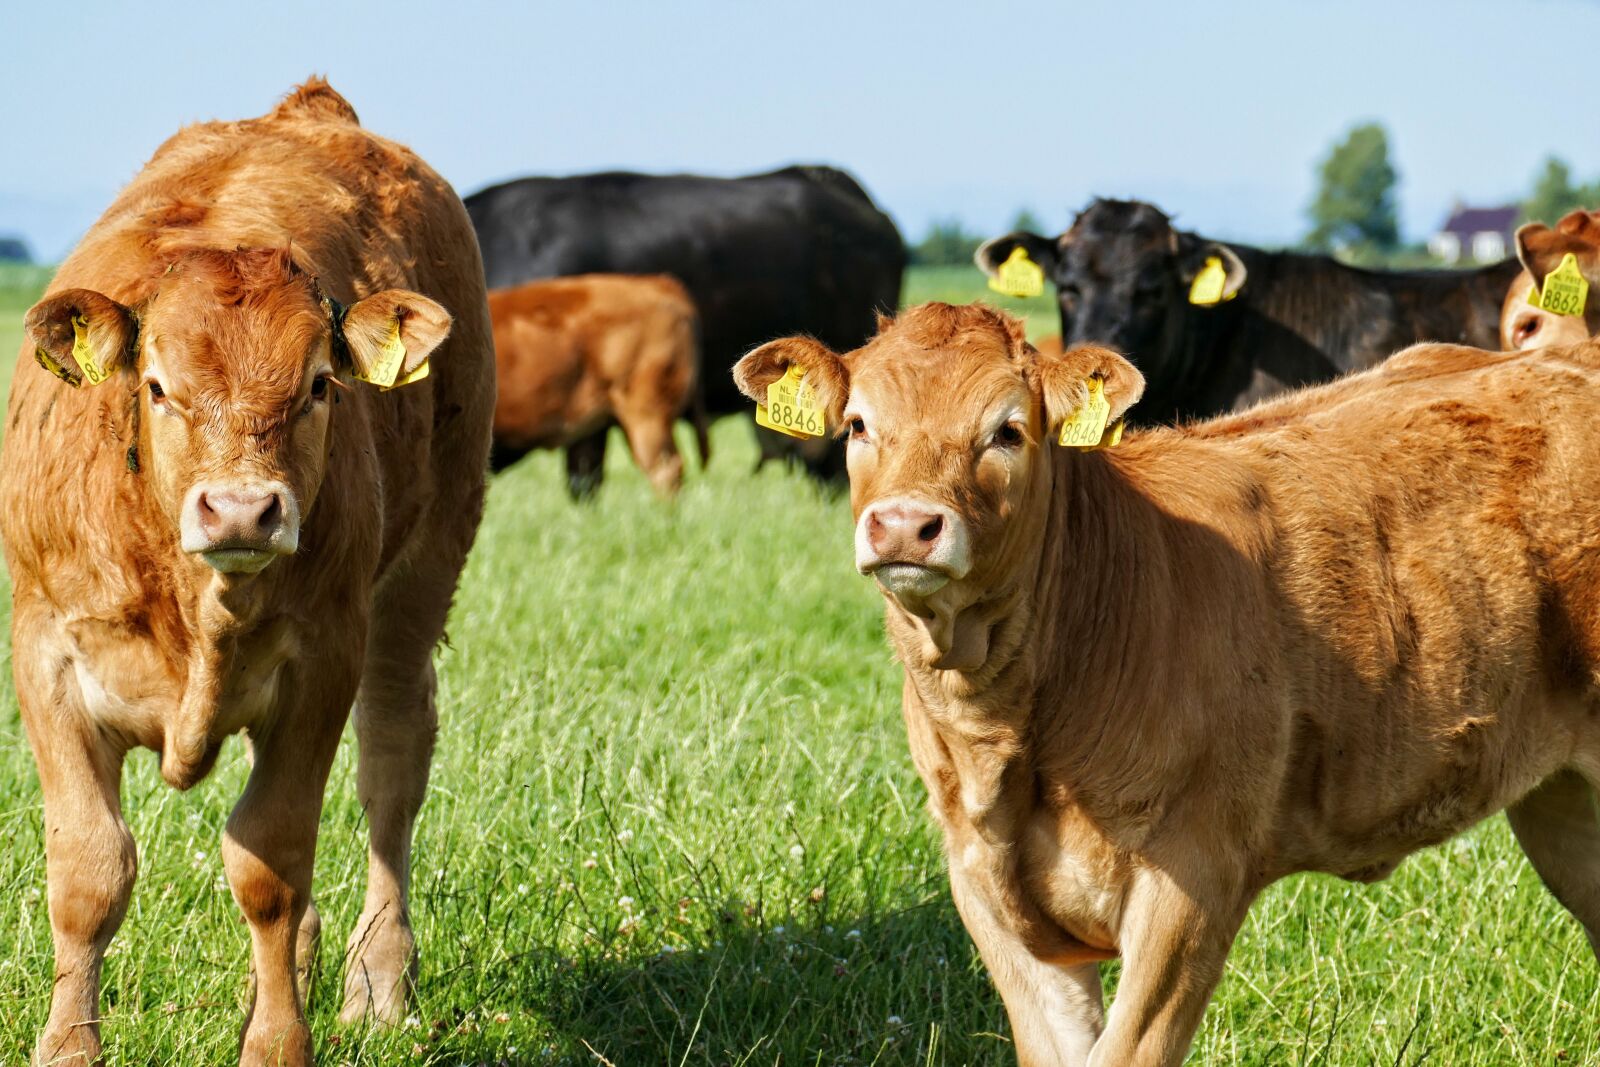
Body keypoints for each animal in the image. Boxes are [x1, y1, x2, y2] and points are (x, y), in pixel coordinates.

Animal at [1, 80, 495, 1067]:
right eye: (156, 385)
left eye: (318, 386)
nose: (239, 510)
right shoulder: (44, 653)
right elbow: (88, 869)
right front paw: (68, 1044)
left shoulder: (323, 658)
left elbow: (270, 861)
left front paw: (276, 1041)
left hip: (425, 569)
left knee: (391, 763)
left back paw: (377, 979)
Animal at [734, 301, 1600, 1066]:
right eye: (858, 425)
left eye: (1008, 429)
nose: (905, 525)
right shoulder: (983, 884)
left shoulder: (1192, 876)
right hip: (1562, 801)